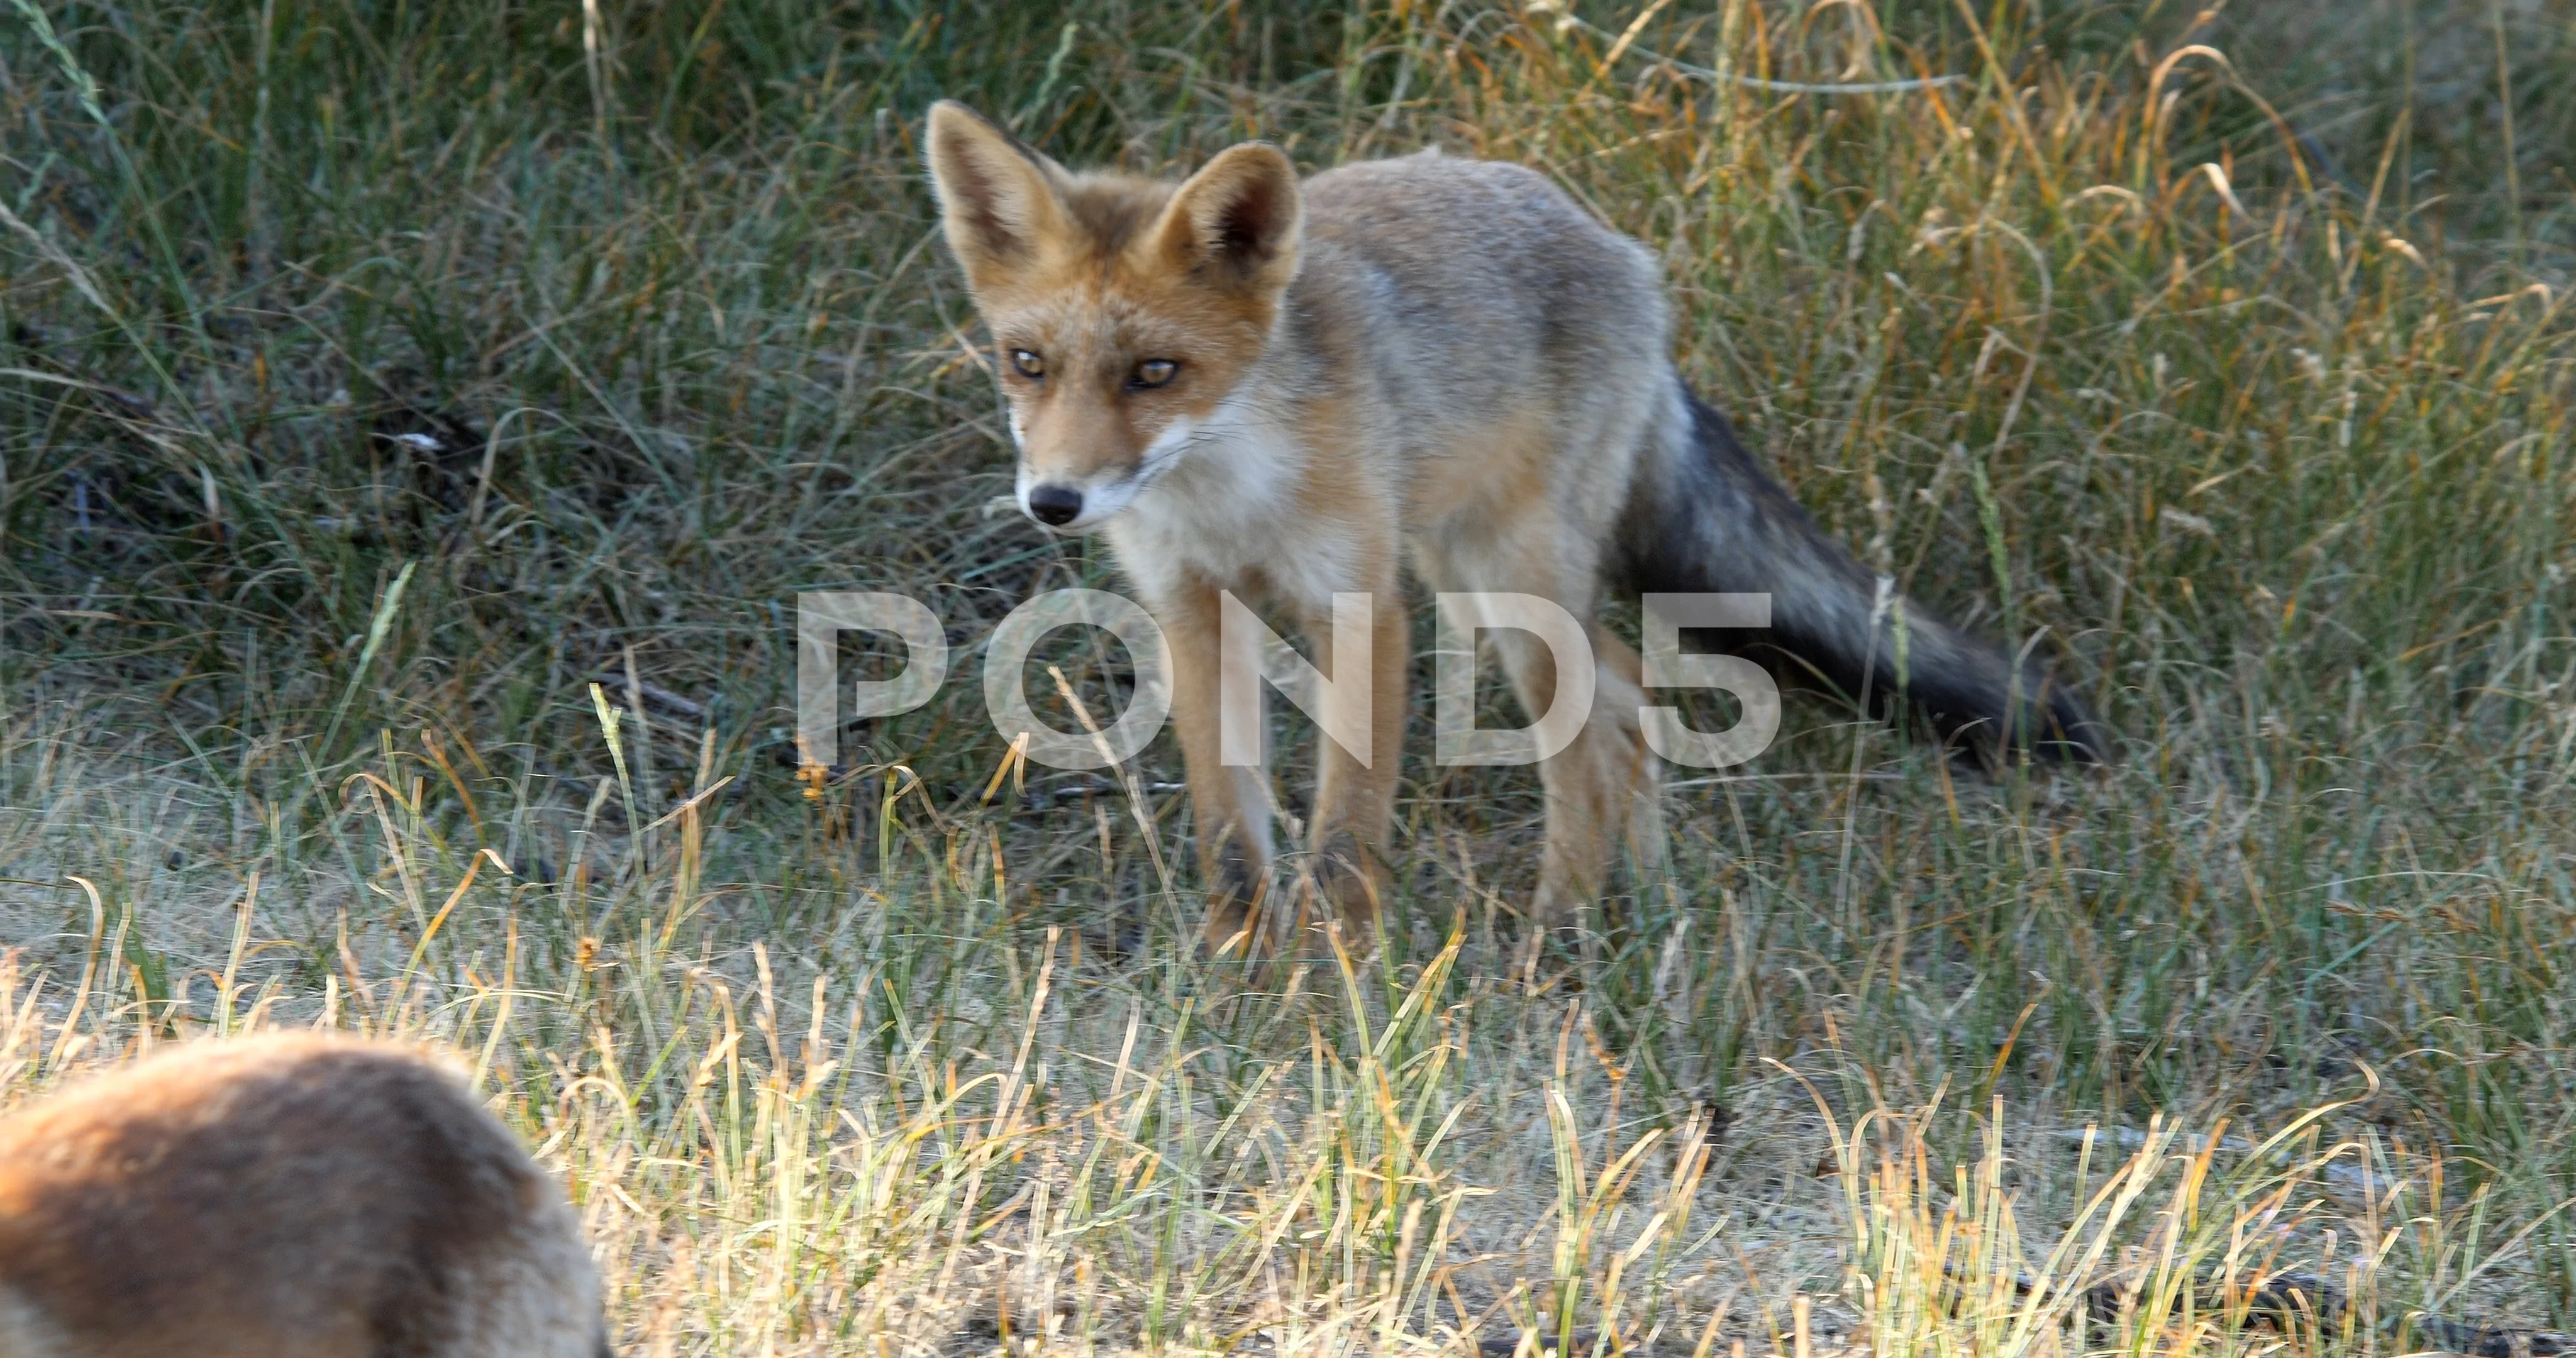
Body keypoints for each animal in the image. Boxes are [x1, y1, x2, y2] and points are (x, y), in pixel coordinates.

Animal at [932, 101, 2112, 958]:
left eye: (1156, 372)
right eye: (1027, 363)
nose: (1054, 502)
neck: (1229, 493)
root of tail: (1611, 243)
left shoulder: (1364, 606)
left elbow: (1347, 834)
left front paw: (1341, 985)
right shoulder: (1191, 610)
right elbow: (1232, 835)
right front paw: (1237, 974)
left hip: (1508, 586)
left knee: (1592, 737)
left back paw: (1562, 930)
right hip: (1473, 577)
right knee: (1629, 702)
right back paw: (1649, 902)